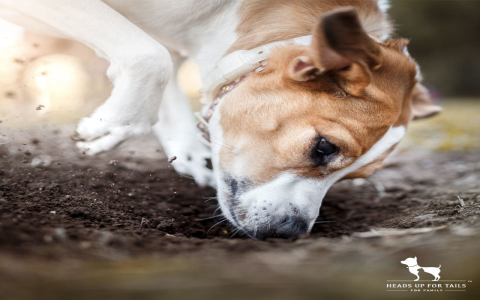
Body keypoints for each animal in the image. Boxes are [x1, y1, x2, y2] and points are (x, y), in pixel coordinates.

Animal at [0, 0, 442, 239]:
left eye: (355, 179)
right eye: (323, 147)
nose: (290, 233)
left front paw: (182, 150)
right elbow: (151, 55)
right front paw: (116, 122)